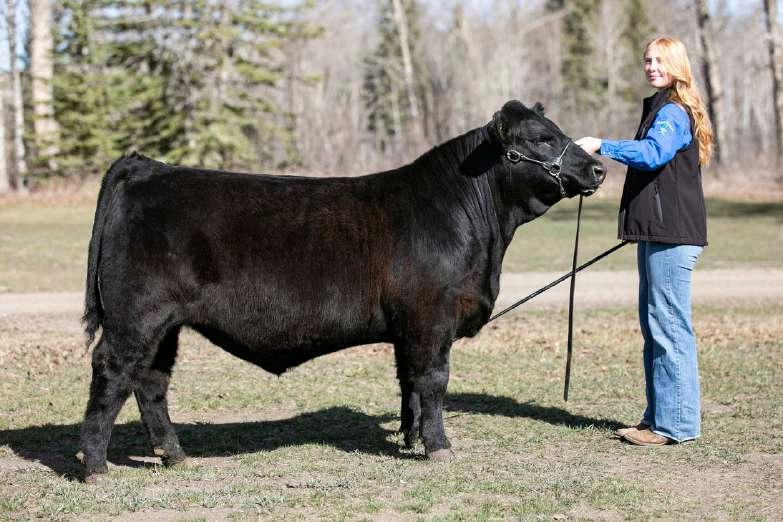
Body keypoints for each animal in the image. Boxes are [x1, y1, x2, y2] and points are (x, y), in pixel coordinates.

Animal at [78, 100, 605, 482]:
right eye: (541, 138)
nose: (598, 169)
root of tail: (148, 167)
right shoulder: (431, 316)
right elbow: (433, 379)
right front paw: (439, 447)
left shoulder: (407, 326)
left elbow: (409, 382)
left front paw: (409, 438)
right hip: (136, 315)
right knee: (113, 371)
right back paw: (96, 466)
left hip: (164, 324)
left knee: (151, 380)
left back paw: (174, 455)